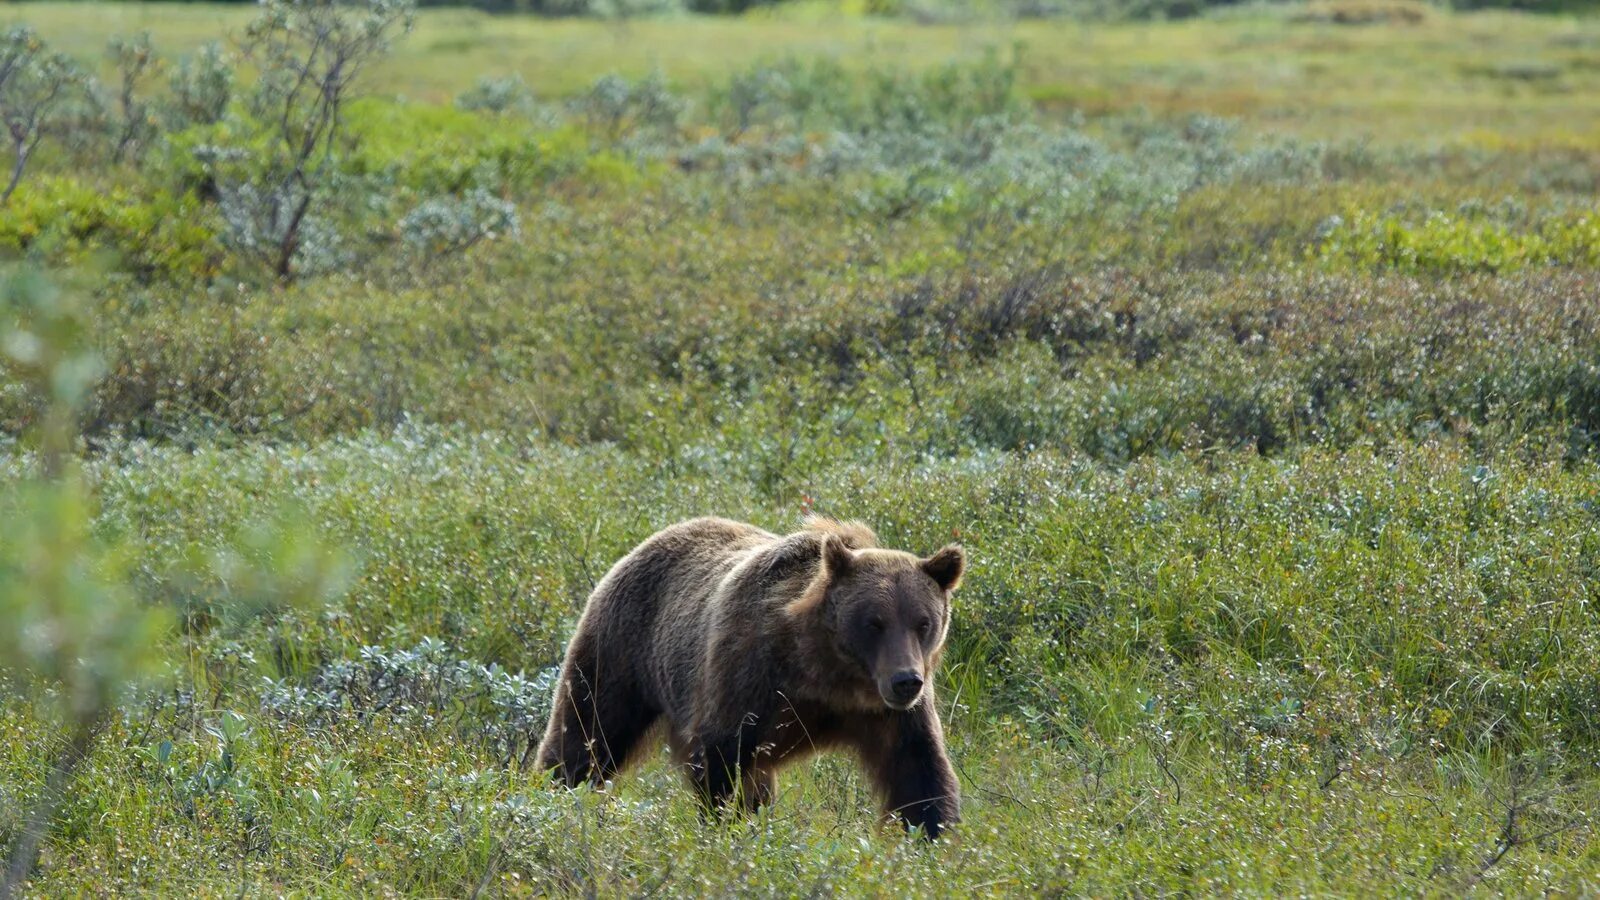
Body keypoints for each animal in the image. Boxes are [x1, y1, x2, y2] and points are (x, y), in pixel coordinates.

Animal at [534, 515, 960, 839]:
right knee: (588, 733)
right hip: (622, 653)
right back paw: (552, 793)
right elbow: (722, 762)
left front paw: (933, 838)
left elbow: (918, 770)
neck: (825, 672)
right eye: (874, 622)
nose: (906, 681)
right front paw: (729, 828)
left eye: (923, 622)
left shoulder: (886, 713)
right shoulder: (750, 676)